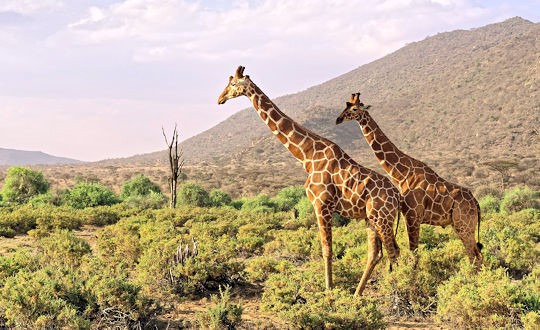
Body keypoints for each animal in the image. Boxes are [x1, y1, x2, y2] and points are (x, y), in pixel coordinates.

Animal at [216, 65, 400, 296]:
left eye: (233, 84)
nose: (220, 98)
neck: (307, 156)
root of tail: (398, 197)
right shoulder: (323, 206)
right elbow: (327, 249)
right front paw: (331, 290)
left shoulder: (322, 204)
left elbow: (327, 250)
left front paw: (328, 292)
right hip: (371, 218)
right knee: (377, 253)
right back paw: (357, 294)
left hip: (382, 217)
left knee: (393, 251)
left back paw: (399, 292)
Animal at [336, 93, 484, 268]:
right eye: (345, 106)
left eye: (354, 109)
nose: (338, 119)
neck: (402, 173)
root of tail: (476, 203)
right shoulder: (411, 216)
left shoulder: (413, 216)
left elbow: (414, 253)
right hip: (461, 225)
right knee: (476, 254)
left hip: (463, 225)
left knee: (475, 255)